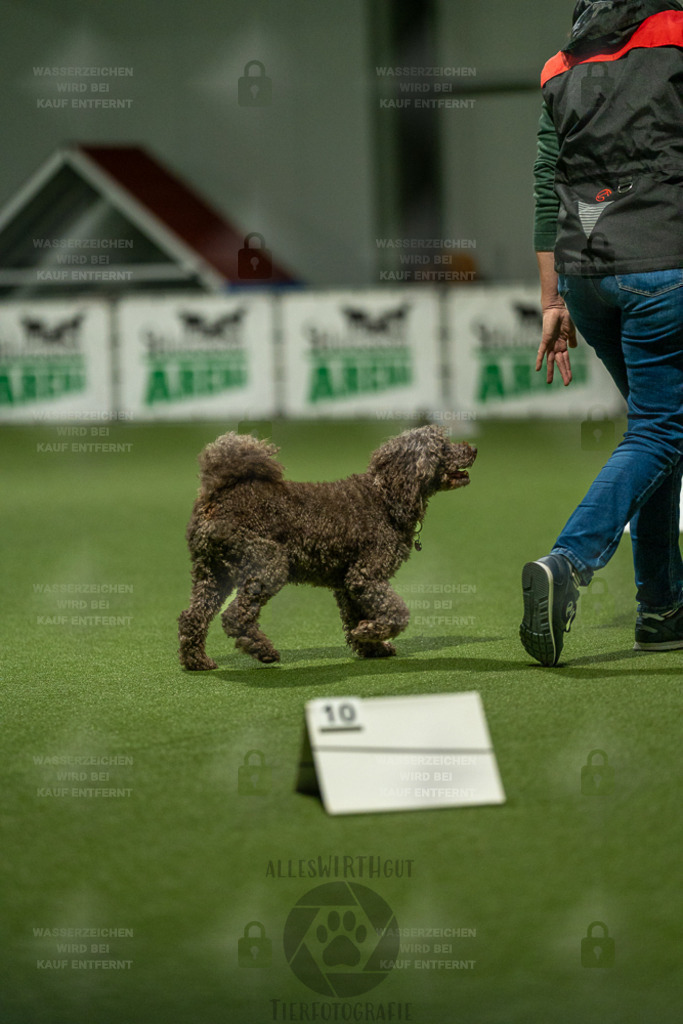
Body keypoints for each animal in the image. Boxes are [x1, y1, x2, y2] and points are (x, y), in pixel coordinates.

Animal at [178, 425, 475, 671]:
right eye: (442, 447)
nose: (473, 449)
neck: (386, 496)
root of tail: (216, 494)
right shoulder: (365, 576)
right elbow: (397, 613)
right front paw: (369, 632)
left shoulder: (348, 585)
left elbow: (355, 617)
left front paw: (371, 645)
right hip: (268, 565)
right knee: (234, 617)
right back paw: (262, 650)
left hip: (212, 574)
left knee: (192, 617)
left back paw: (197, 661)